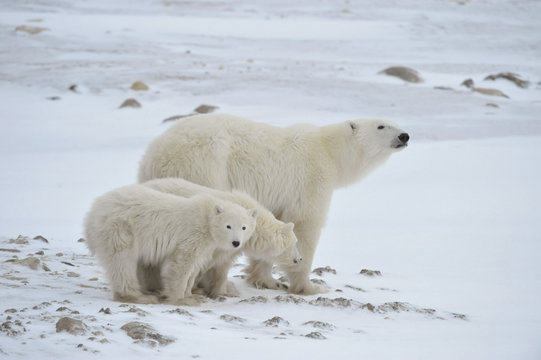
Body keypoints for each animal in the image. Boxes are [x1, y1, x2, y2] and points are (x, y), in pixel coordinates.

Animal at [137, 114, 408, 296]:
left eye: (395, 123)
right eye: (381, 126)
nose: (405, 135)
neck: (329, 151)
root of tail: (156, 154)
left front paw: (266, 280)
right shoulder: (311, 180)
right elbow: (305, 225)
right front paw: (310, 286)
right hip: (205, 165)